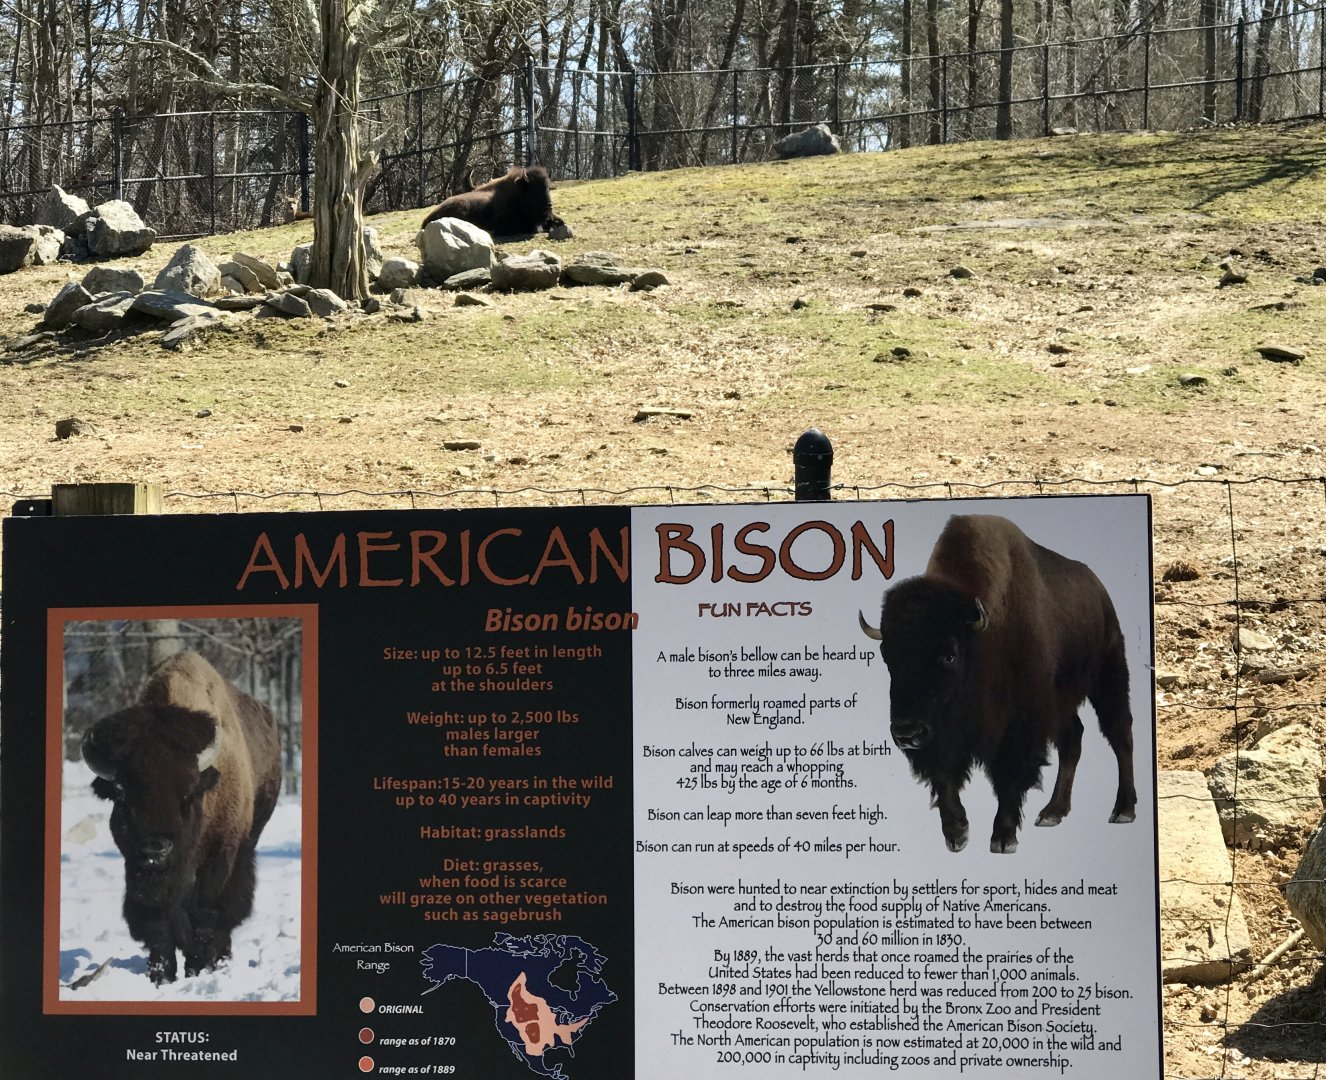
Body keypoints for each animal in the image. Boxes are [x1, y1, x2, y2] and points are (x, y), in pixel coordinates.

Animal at [81, 650, 282, 984]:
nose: (156, 848)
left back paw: (221, 959)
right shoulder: (141, 876)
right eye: (121, 795)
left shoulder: (220, 856)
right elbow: (158, 921)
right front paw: (161, 975)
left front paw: (198, 969)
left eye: (188, 794)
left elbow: (204, 914)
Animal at [859, 514, 1136, 854]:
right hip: (1061, 701)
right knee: (1073, 738)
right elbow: (944, 775)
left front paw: (1003, 839)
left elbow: (1008, 776)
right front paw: (957, 835)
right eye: (887, 655)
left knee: (1120, 733)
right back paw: (1052, 812)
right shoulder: (944, 735)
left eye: (949, 654)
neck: (980, 641)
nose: (907, 733)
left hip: (1108, 676)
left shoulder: (1020, 725)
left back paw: (1123, 810)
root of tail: (1099, 589)